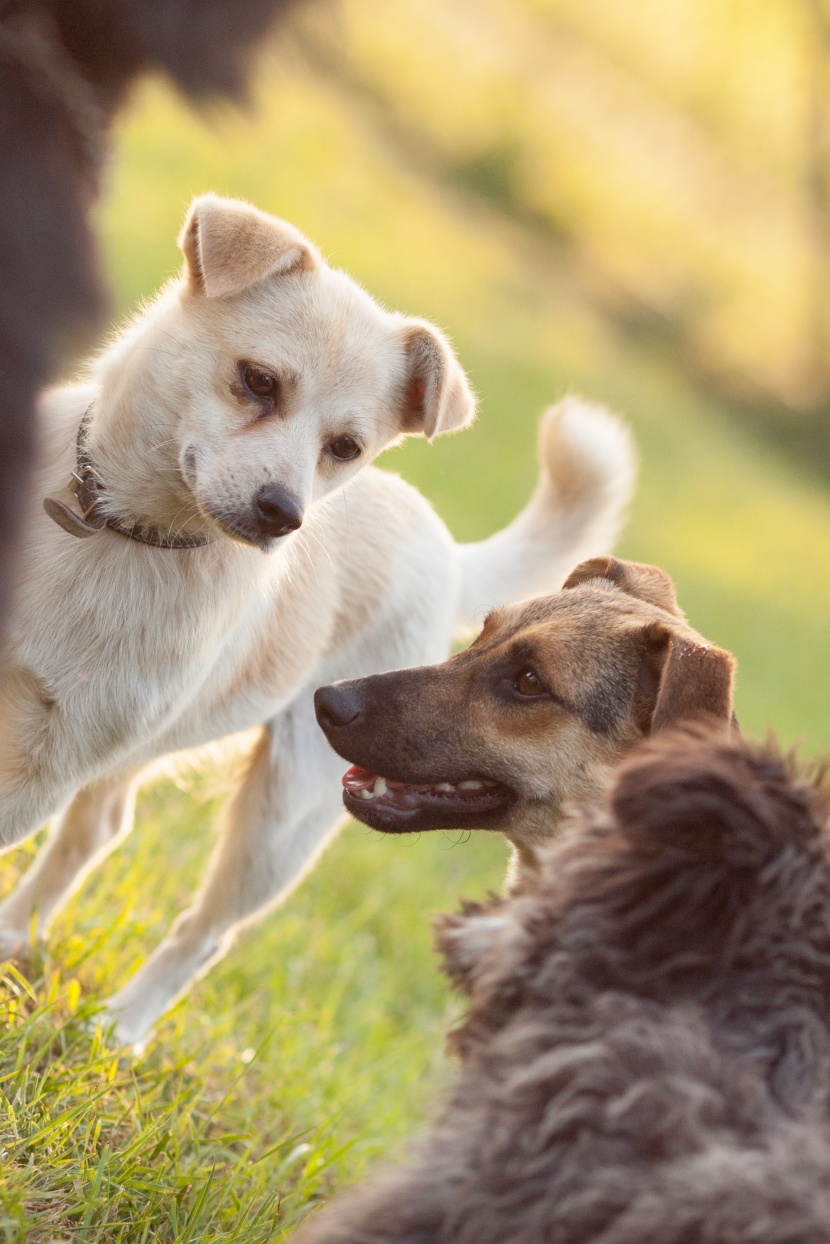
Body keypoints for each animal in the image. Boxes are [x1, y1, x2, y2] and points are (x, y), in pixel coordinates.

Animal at [0, 194, 637, 1039]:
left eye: (345, 446)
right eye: (258, 381)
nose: (284, 513)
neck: (119, 532)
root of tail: (442, 545)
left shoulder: (50, 757)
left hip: (283, 814)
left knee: (204, 932)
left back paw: (120, 1030)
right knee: (99, 829)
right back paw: (19, 941)